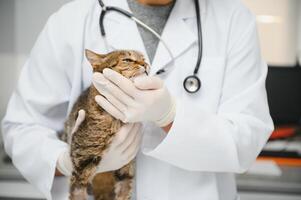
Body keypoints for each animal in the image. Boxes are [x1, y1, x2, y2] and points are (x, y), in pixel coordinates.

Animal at [61, 48, 149, 200]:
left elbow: (125, 187)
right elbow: (77, 189)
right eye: (127, 60)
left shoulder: (126, 165)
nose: (146, 64)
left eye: (143, 59)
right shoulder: (82, 156)